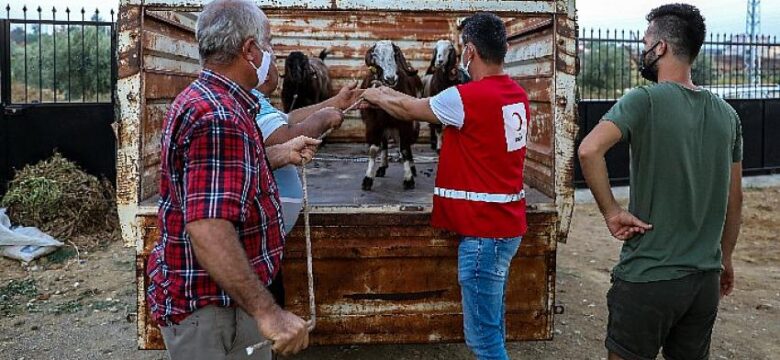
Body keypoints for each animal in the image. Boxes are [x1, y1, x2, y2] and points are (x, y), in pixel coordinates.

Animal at [362, 39, 424, 191]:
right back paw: (382, 167)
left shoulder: (405, 123)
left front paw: (408, 179)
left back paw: (412, 168)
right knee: (384, 144)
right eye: (375, 55)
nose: (390, 79)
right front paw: (368, 179)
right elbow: (373, 149)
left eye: (395, 54)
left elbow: (405, 149)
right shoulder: (373, 123)